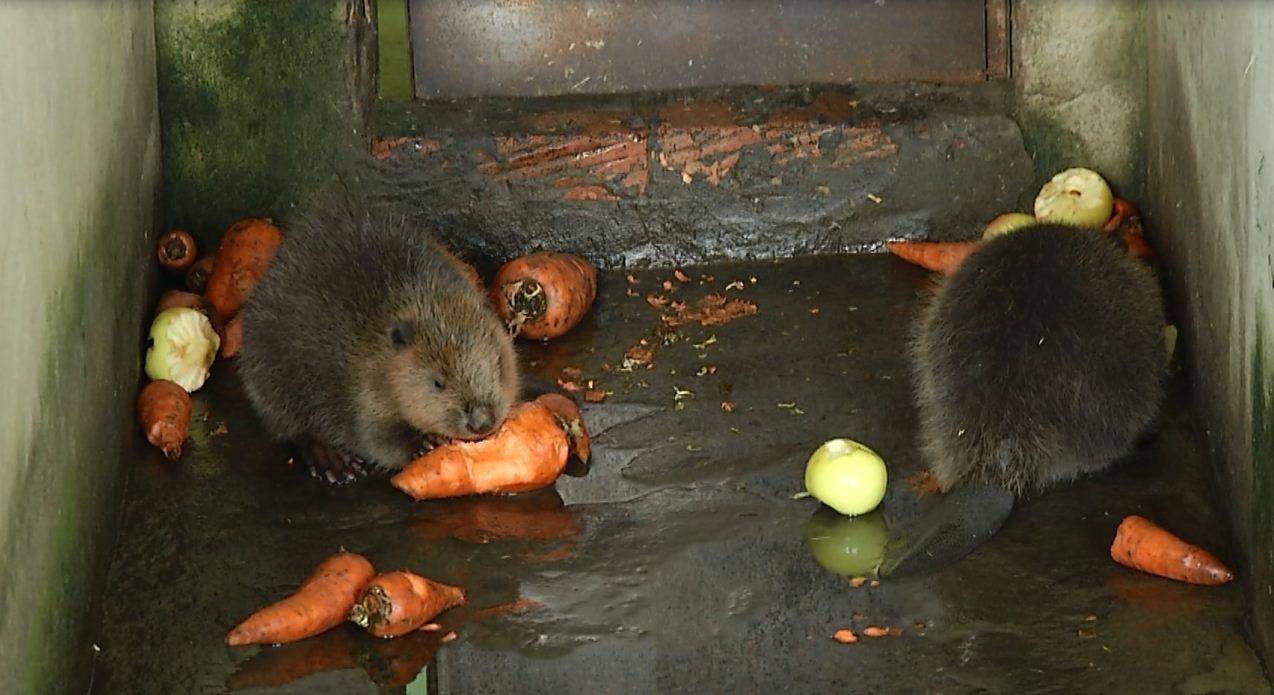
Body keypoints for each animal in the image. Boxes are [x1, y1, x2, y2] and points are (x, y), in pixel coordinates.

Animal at [236, 202, 519, 478]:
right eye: (438, 383)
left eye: (497, 365)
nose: (482, 421)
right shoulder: (365, 391)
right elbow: (377, 442)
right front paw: (424, 443)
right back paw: (330, 461)